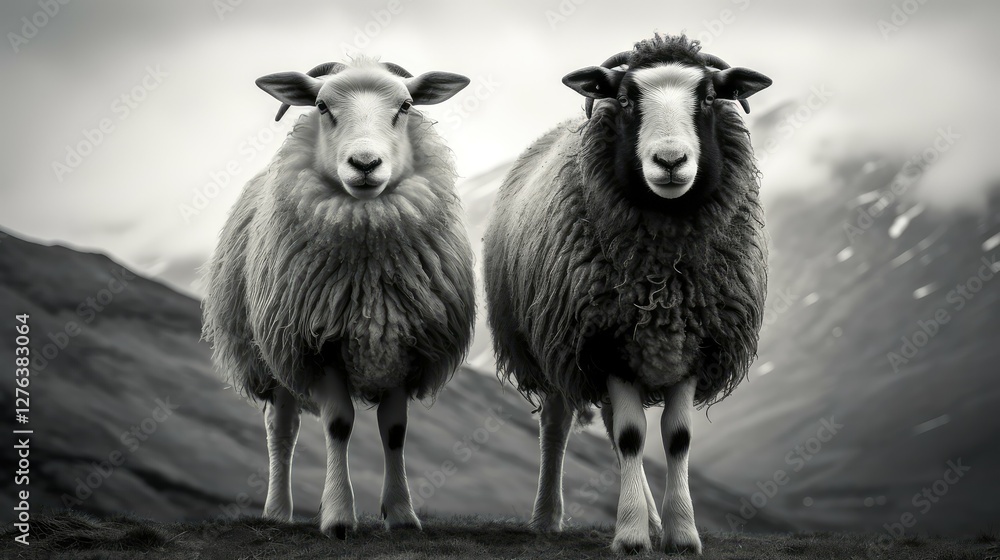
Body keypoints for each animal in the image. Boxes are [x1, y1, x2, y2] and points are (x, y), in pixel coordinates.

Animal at [201, 57, 476, 540]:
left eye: (405, 106)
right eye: (322, 106)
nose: (365, 164)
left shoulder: (406, 346)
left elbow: (395, 430)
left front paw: (401, 514)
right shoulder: (317, 344)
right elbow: (338, 424)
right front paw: (338, 517)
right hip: (274, 352)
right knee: (282, 429)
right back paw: (277, 510)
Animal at [482, 34, 771, 554]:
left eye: (708, 97)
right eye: (626, 99)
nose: (671, 162)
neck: (663, 277)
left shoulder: (694, 346)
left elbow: (676, 439)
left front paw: (680, 533)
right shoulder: (604, 343)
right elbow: (634, 436)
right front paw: (632, 535)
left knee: (612, 427)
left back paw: (654, 521)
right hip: (553, 345)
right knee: (558, 425)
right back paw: (547, 517)